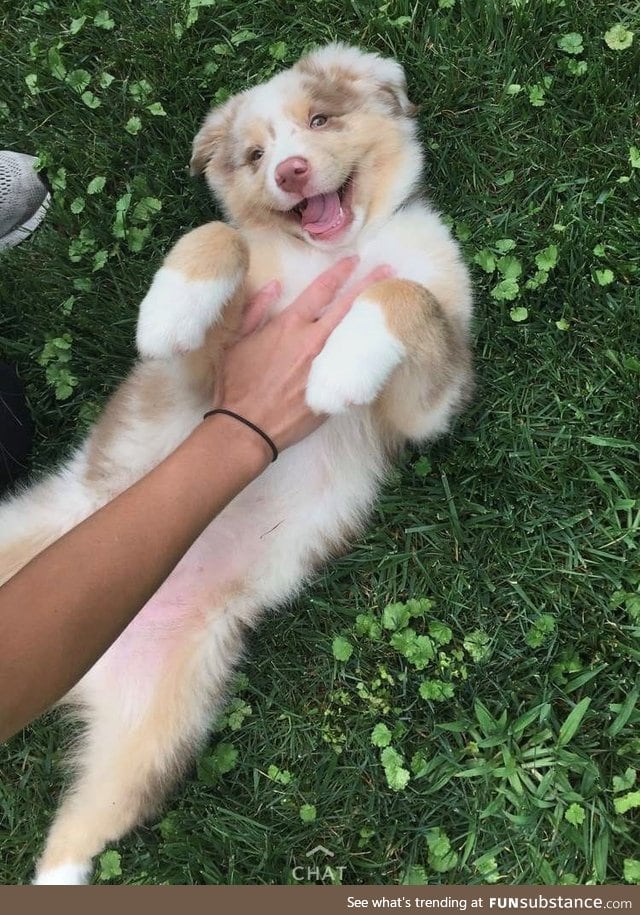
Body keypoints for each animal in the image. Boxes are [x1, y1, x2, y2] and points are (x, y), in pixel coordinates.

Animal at [0, 44, 470, 888]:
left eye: (321, 119)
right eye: (253, 156)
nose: (289, 169)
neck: (336, 252)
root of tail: (82, 671)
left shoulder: (429, 403)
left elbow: (404, 293)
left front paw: (340, 366)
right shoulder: (193, 382)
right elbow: (215, 237)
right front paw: (169, 309)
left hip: (159, 732)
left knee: (75, 835)